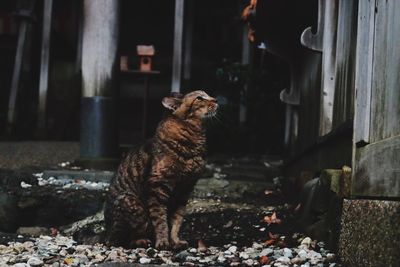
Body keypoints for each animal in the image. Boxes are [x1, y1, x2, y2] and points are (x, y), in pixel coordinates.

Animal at [105, 90, 219, 251]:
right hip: (128, 200)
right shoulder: (157, 188)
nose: (216, 100)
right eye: (199, 98)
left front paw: (175, 241)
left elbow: (176, 221)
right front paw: (163, 242)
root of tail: (105, 233)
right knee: (124, 239)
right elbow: (160, 221)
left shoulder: (184, 190)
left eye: (207, 95)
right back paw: (142, 241)